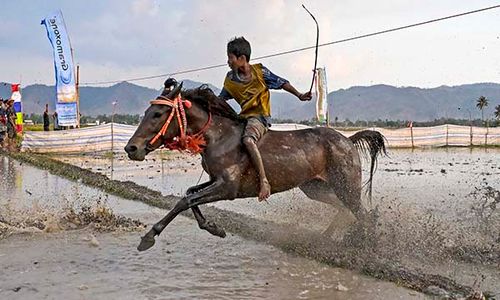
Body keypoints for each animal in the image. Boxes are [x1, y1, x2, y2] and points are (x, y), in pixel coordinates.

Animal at [125, 79, 386, 251]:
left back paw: (368, 247)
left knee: (365, 215)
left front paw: (149, 237)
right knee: (345, 211)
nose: (131, 148)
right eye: (147, 111)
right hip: (315, 187)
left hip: (346, 187)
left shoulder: (227, 187)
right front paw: (213, 227)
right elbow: (189, 195)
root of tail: (347, 140)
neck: (218, 137)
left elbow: (184, 201)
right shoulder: (215, 181)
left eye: (158, 113)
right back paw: (325, 239)